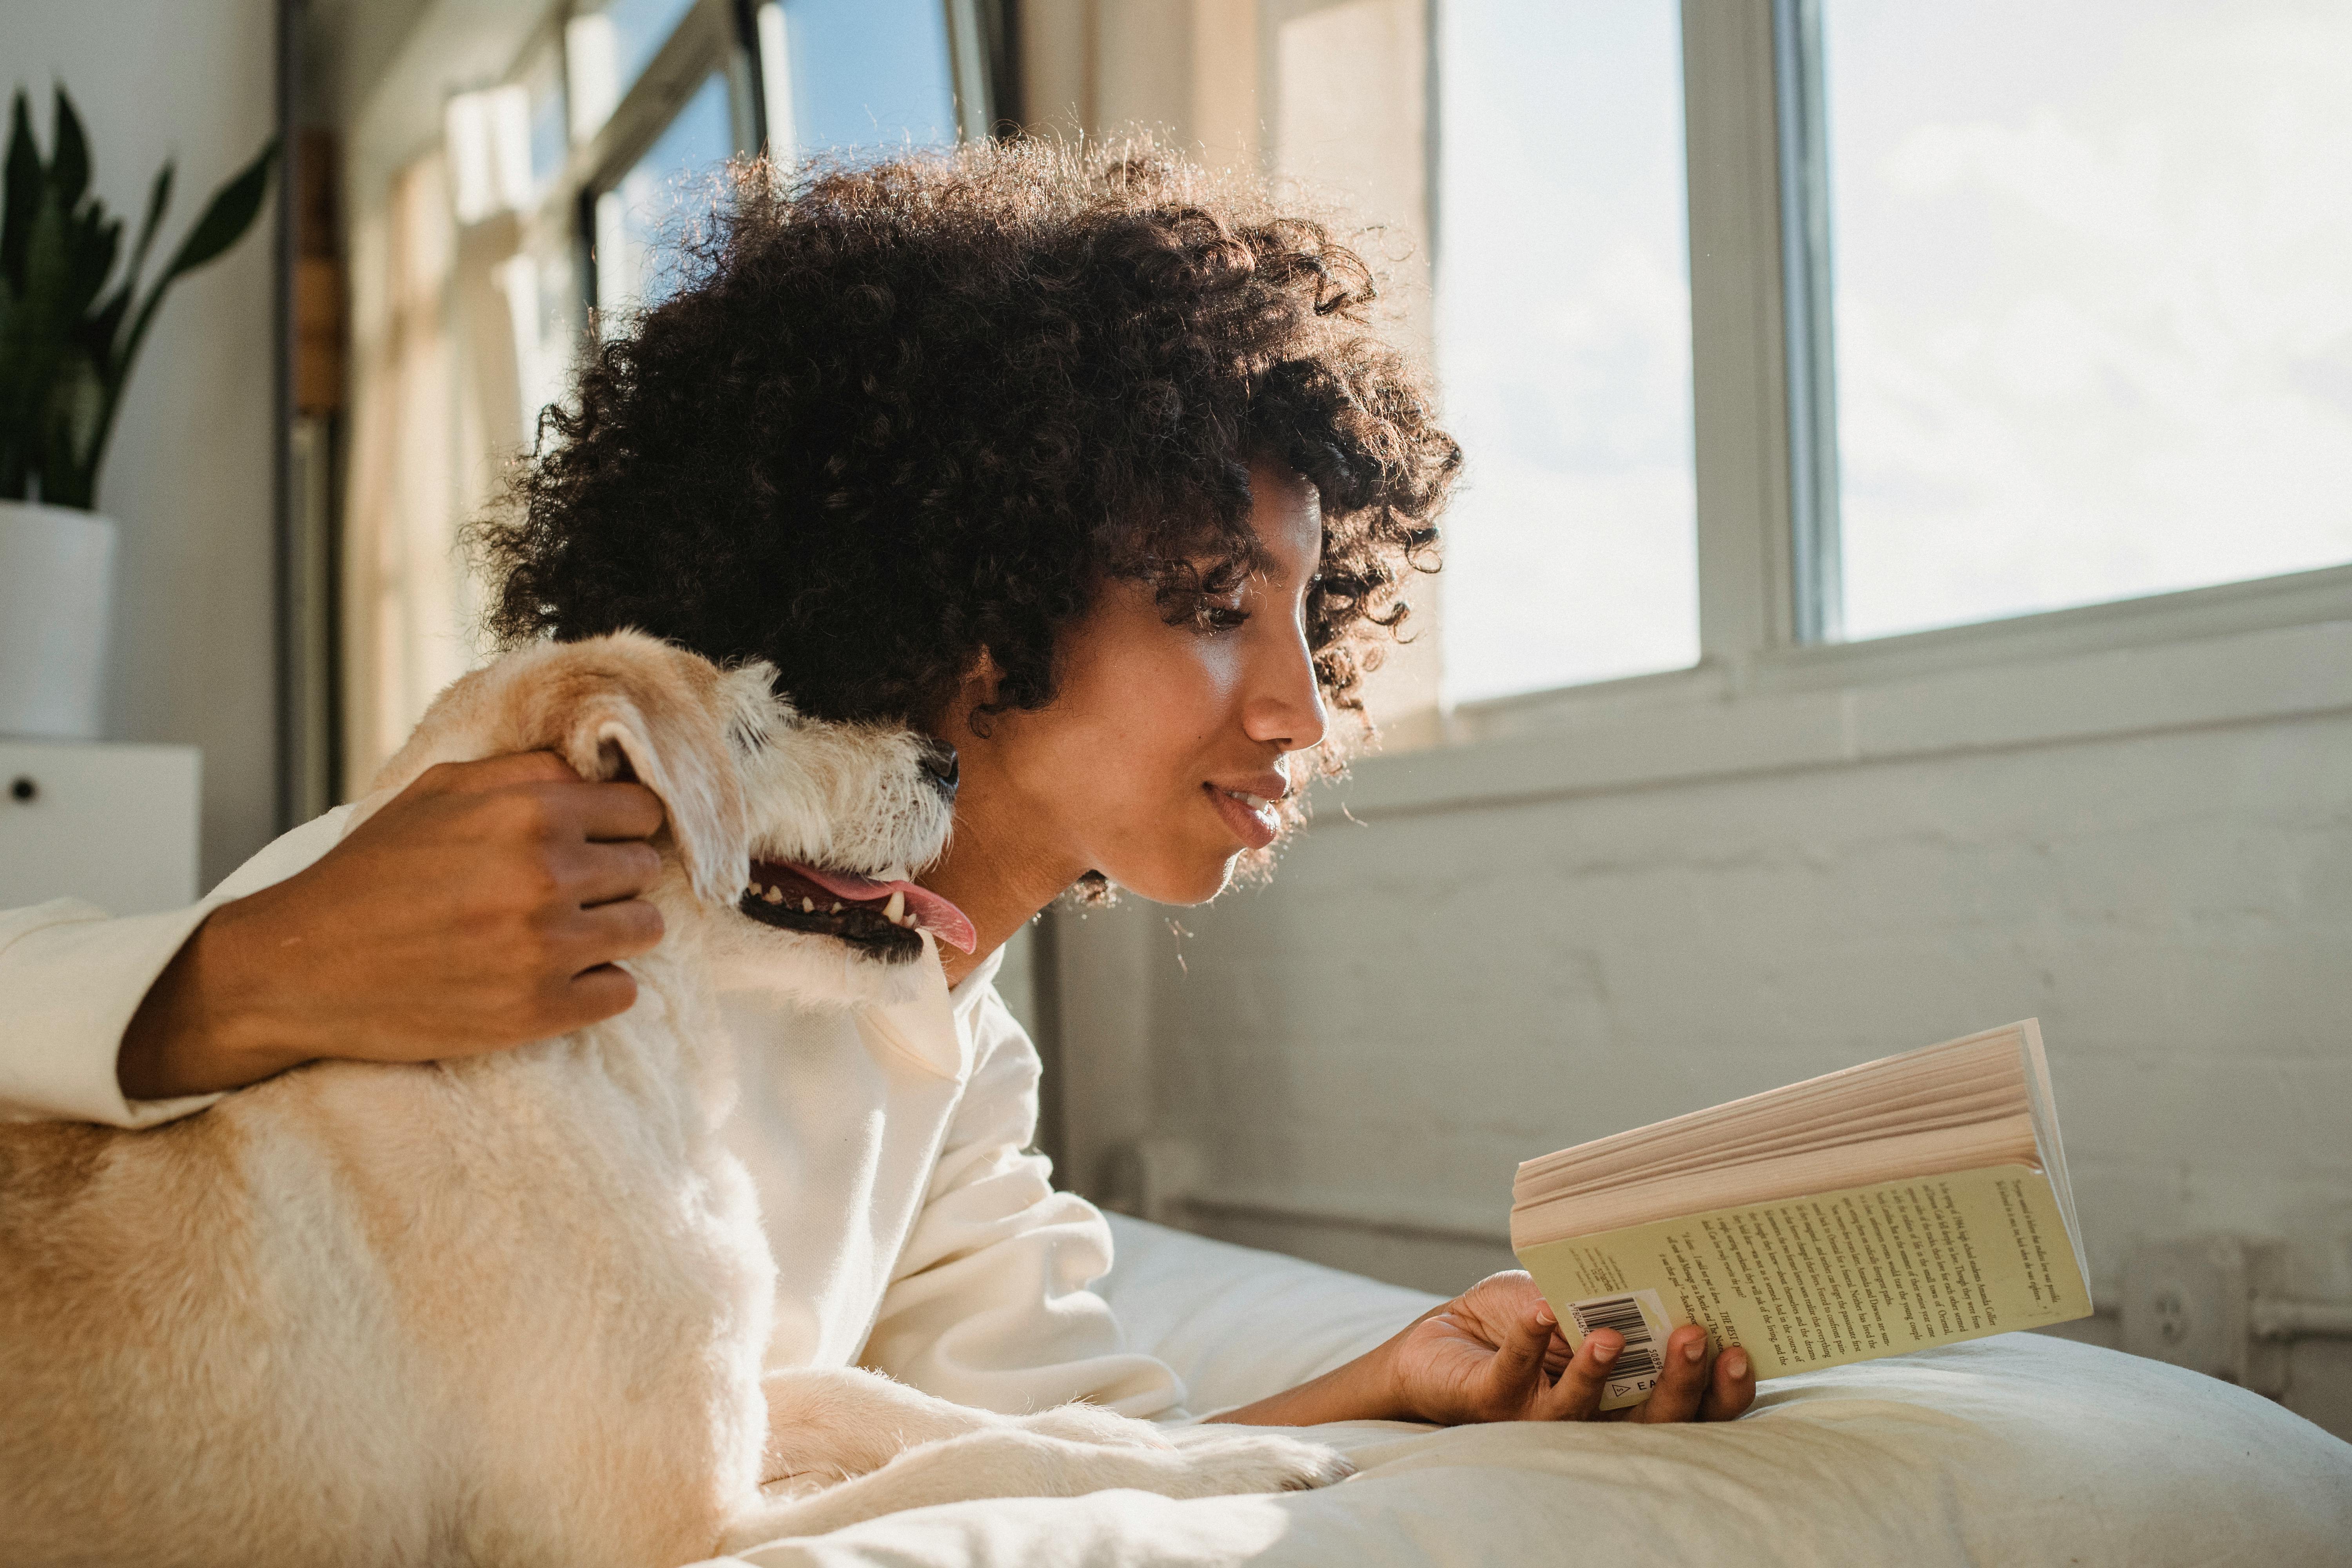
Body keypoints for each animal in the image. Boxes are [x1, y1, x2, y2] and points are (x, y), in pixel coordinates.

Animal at [0, 630, 1345, 1561]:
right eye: (749, 730)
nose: (949, 758)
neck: (604, 1070)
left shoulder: (741, 1395)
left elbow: (912, 1402)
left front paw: (1186, 1439)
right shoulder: (678, 1533)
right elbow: (980, 1469)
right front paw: (1217, 1478)